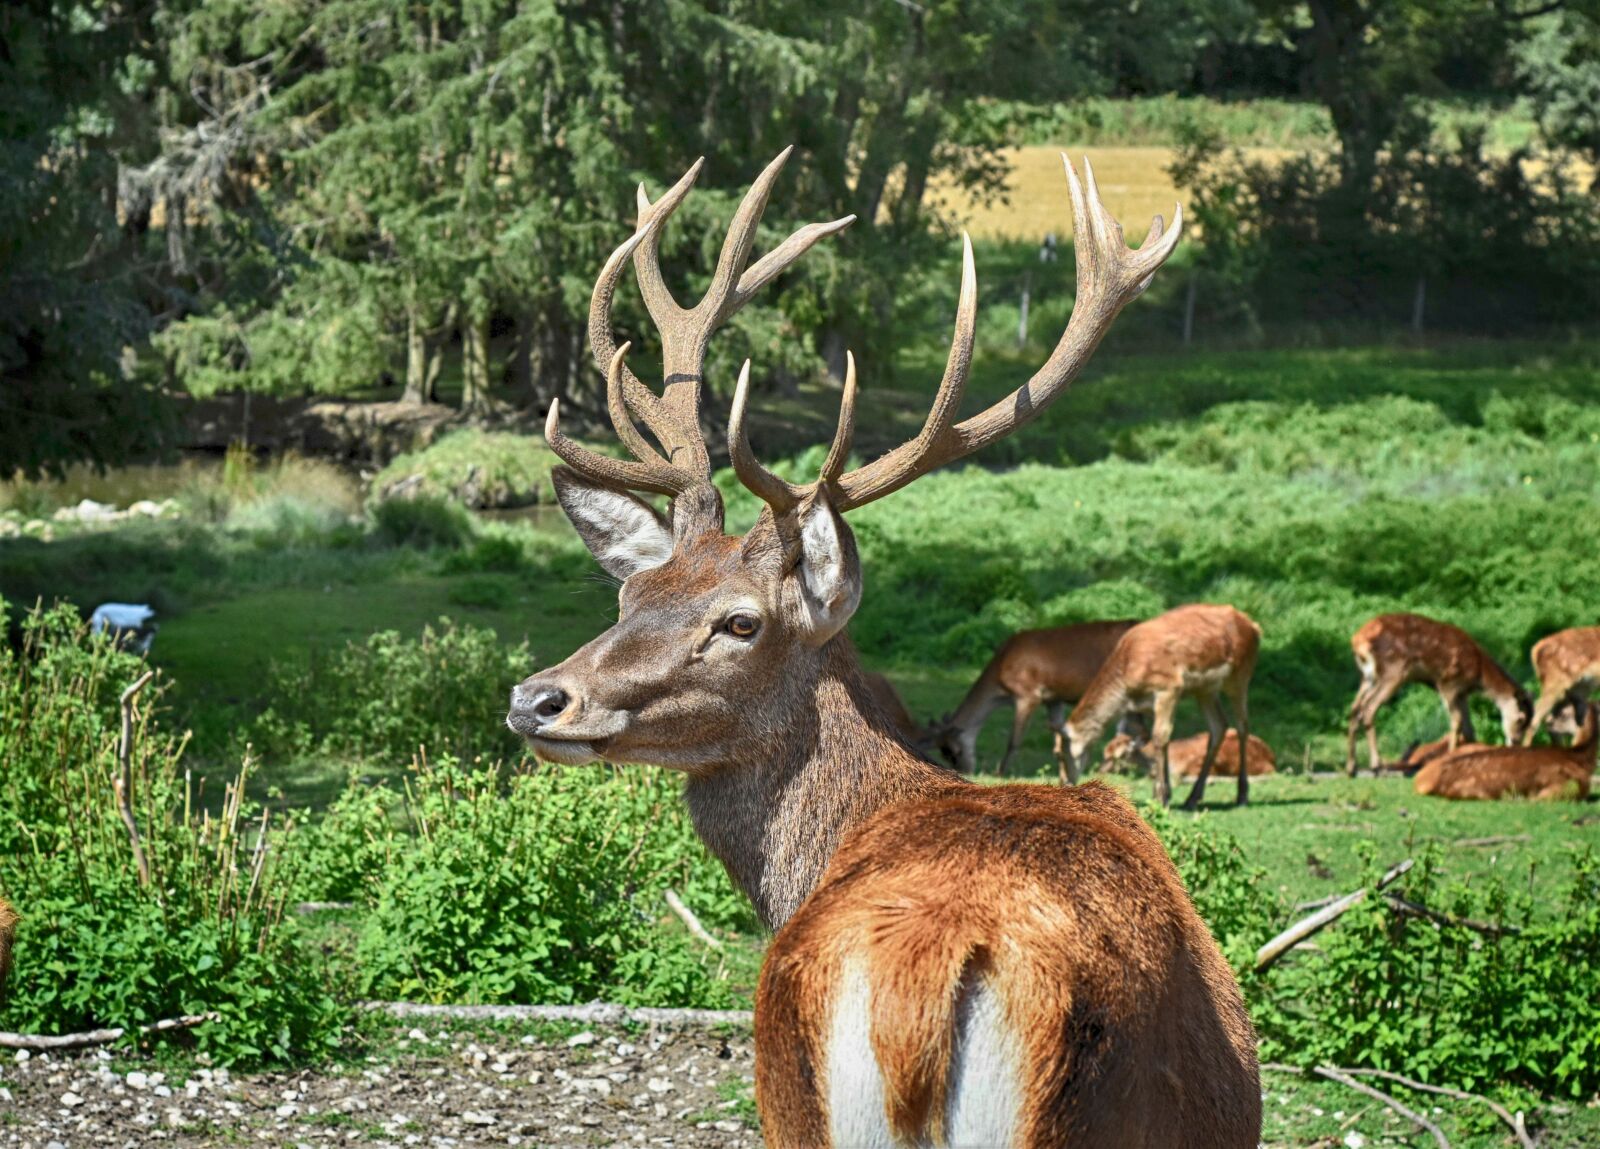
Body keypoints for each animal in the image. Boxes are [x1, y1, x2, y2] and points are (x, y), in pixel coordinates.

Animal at [928, 620, 1138, 776]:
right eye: (943, 752)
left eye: (953, 751)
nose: (964, 771)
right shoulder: (1053, 699)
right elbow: (1058, 733)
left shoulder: (1028, 693)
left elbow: (1014, 740)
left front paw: (1000, 772)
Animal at [1344, 612, 1532, 776]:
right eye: (1521, 719)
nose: (1515, 743)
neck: (1479, 674)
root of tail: (1357, 640)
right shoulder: (1448, 683)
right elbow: (1457, 721)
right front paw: (1450, 757)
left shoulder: (1462, 693)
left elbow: (1469, 728)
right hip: (1393, 670)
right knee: (1369, 708)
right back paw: (1376, 765)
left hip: (1367, 677)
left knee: (1355, 709)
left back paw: (1351, 768)